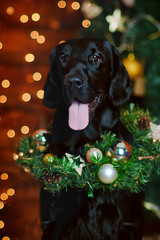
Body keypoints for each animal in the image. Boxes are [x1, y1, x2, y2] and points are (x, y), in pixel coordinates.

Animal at [40, 38, 143, 240]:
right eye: (63, 58)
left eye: (96, 58)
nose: (73, 82)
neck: (85, 143)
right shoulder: (51, 221)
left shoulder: (126, 223)